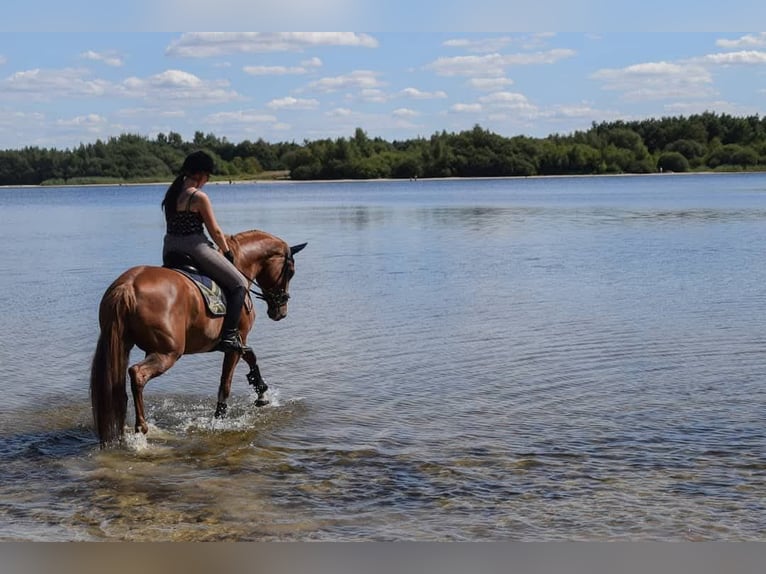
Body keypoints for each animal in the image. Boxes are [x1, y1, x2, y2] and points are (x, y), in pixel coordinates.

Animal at [89, 230, 306, 446]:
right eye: (291, 271)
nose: (280, 311)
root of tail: (129, 285)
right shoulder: (236, 341)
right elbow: (226, 382)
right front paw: (219, 420)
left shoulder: (237, 342)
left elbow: (251, 356)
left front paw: (261, 391)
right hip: (168, 353)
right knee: (137, 374)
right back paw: (141, 428)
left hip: (125, 346)